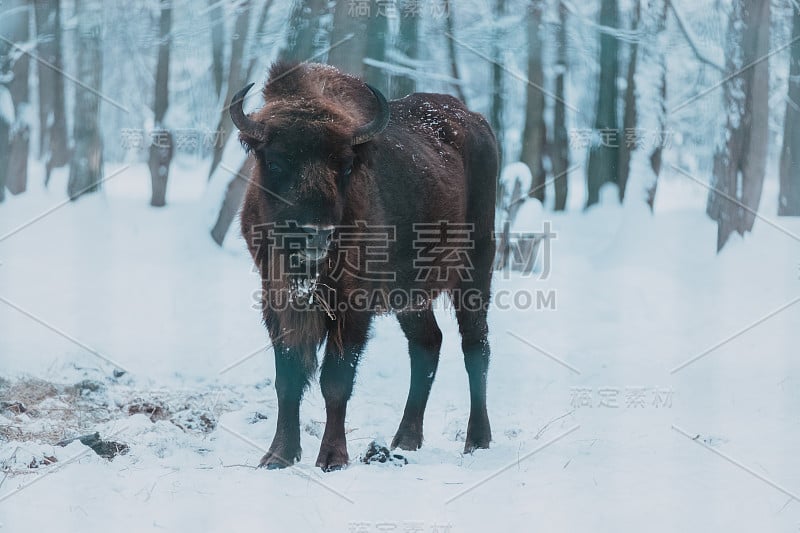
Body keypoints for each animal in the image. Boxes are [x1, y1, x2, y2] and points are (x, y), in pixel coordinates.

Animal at [228, 61, 496, 470]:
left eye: (344, 166)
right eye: (274, 162)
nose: (316, 234)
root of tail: (477, 122)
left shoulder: (353, 306)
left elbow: (336, 381)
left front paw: (332, 458)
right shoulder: (277, 303)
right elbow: (287, 379)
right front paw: (278, 456)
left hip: (475, 268)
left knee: (474, 346)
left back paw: (477, 441)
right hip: (411, 297)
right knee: (427, 343)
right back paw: (405, 439)